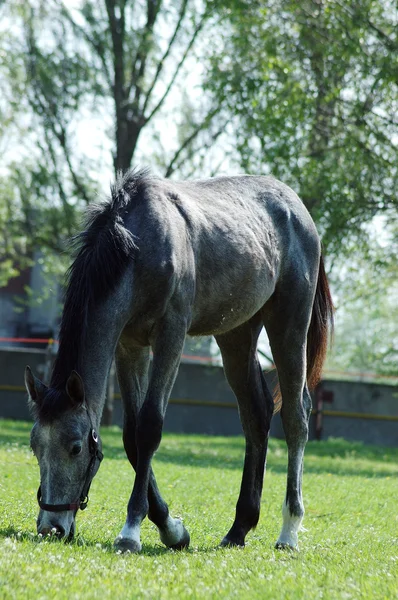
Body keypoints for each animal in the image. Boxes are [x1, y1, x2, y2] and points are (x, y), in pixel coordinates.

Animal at [24, 169, 334, 552]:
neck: (138, 245)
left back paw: (289, 531)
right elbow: (131, 436)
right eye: (35, 446)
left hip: (289, 323)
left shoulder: (170, 335)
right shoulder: (129, 345)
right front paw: (172, 528)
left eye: (76, 447)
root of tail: (299, 211)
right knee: (256, 414)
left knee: (296, 417)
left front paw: (132, 530)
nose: (50, 527)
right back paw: (239, 528)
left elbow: (149, 428)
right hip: (237, 334)